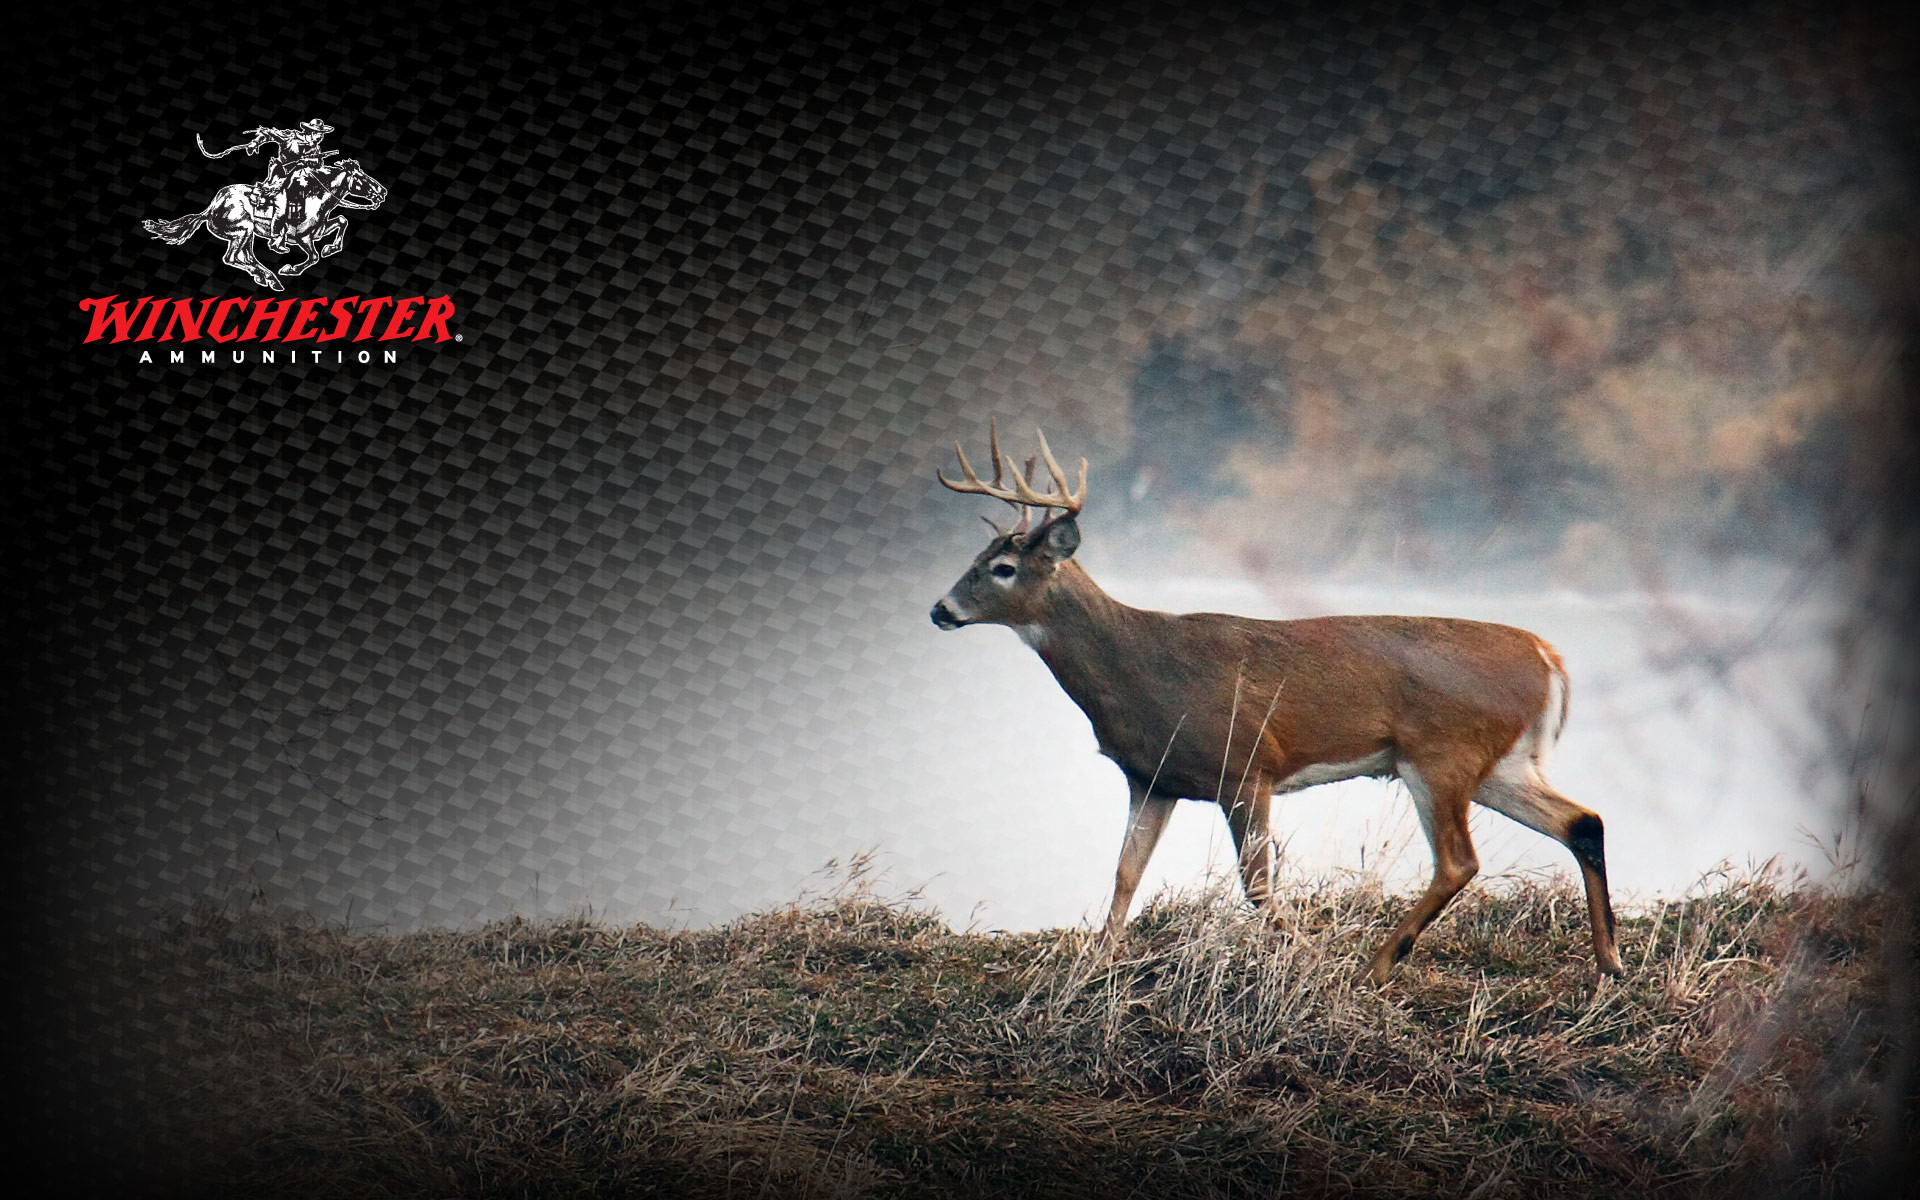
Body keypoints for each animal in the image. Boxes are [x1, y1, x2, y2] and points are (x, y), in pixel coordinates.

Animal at [929, 424, 1624, 984]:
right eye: (978, 557)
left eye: (1004, 567)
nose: (940, 609)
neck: (1141, 673)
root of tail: (1548, 657)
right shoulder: (1152, 777)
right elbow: (1126, 872)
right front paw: (1094, 965)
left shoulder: (1246, 765)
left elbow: (1259, 885)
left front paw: (1306, 957)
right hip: (1499, 764)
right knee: (1582, 821)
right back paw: (1608, 963)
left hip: (1439, 754)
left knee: (1459, 861)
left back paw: (1376, 964)